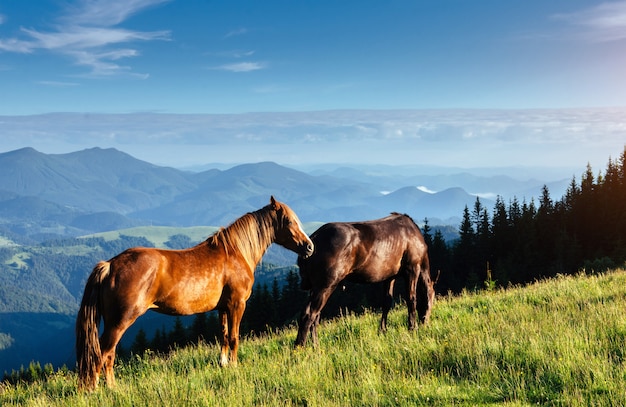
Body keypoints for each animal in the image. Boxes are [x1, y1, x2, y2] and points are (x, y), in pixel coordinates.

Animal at [75, 198, 312, 392]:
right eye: (289, 221)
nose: (309, 247)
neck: (235, 252)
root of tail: (110, 265)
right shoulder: (237, 305)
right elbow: (234, 337)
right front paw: (234, 365)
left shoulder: (223, 308)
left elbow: (223, 335)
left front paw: (223, 364)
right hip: (121, 321)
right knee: (100, 353)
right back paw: (94, 389)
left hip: (114, 322)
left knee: (109, 354)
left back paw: (112, 387)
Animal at [294, 214, 434, 348]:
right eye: (431, 302)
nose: (426, 323)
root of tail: (314, 239)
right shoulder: (412, 268)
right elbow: (411, 299)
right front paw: (413, 328)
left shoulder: (389, 276)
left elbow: (387, 302)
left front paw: (382, 331)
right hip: (325, 286)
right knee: (309, 314)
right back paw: (299, 347)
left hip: (316, 287)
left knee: (315, 317)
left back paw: (316, 346)